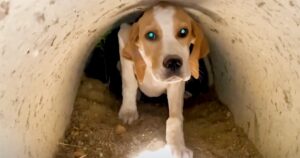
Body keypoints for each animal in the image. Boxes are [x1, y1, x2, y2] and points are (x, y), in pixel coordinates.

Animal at [117, 2, 209, 158]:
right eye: (150, 35)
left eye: (183, 32)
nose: (173, 63)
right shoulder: (123, 37)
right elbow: (129, 83)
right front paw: (128, 111)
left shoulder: (176, 83)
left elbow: (175, 118)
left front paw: (178, 146)